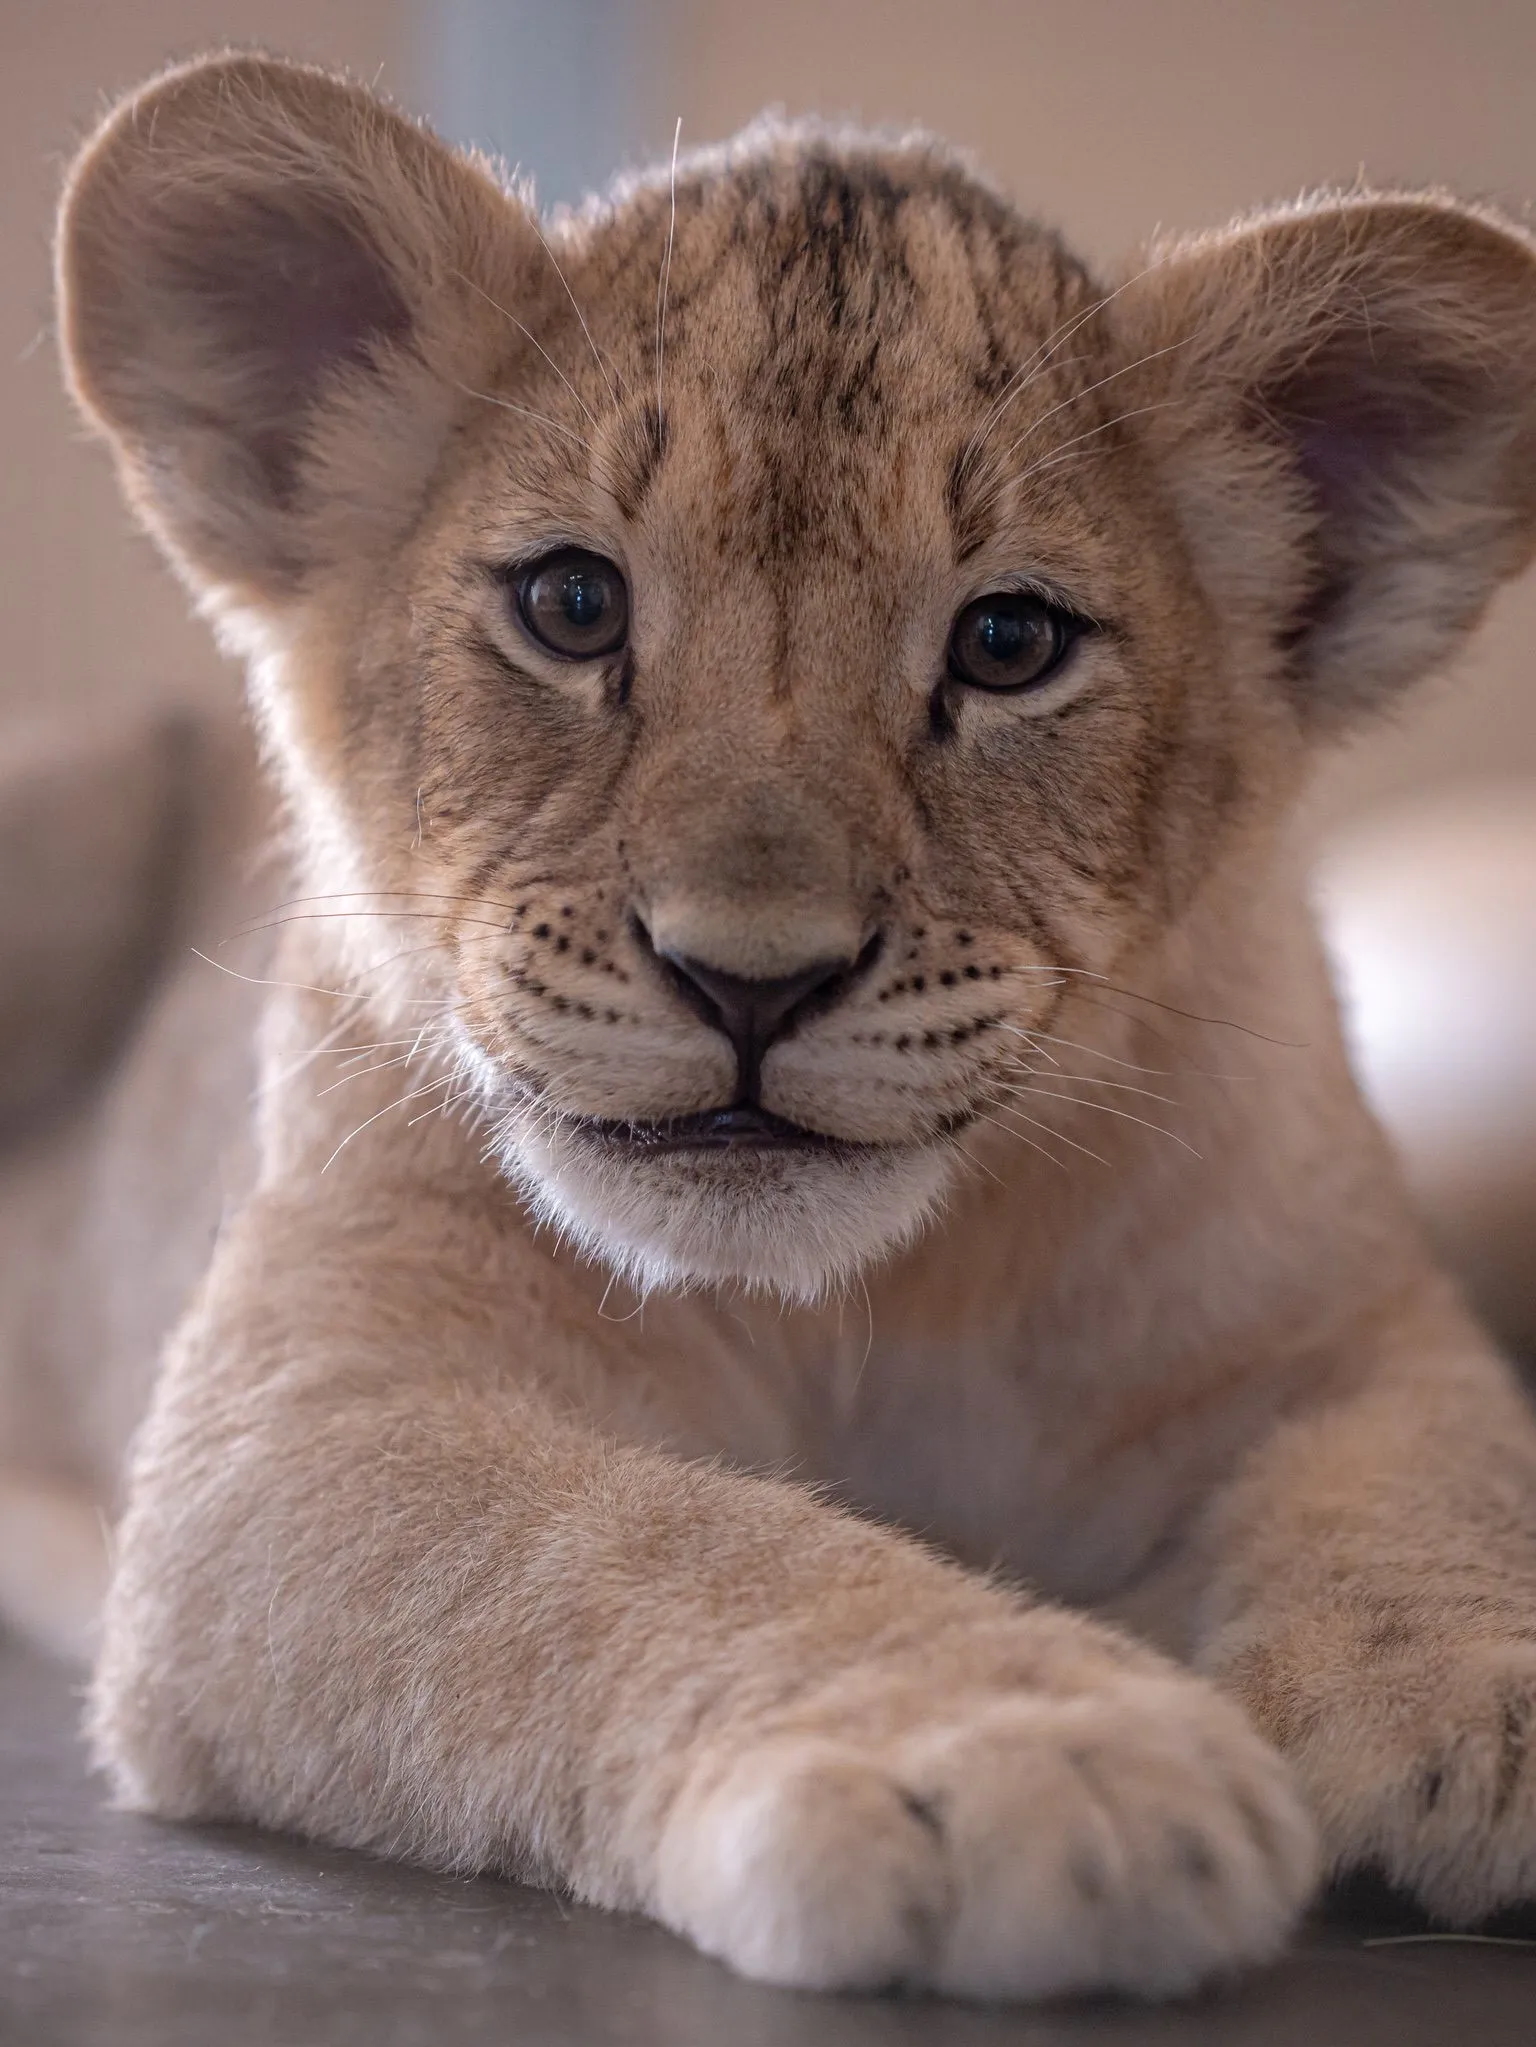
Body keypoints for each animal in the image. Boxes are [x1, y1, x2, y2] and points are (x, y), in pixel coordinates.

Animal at [2, 47, 1535, 2000]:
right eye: (571, 603)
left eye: (1010, 642)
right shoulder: (299, 1434)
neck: (857, 1307)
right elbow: (644, 1543)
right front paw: (1039, 1754)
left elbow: (1439, 1480)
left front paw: (1488, 1691)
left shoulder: (1356, 1330)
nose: (752, 978)